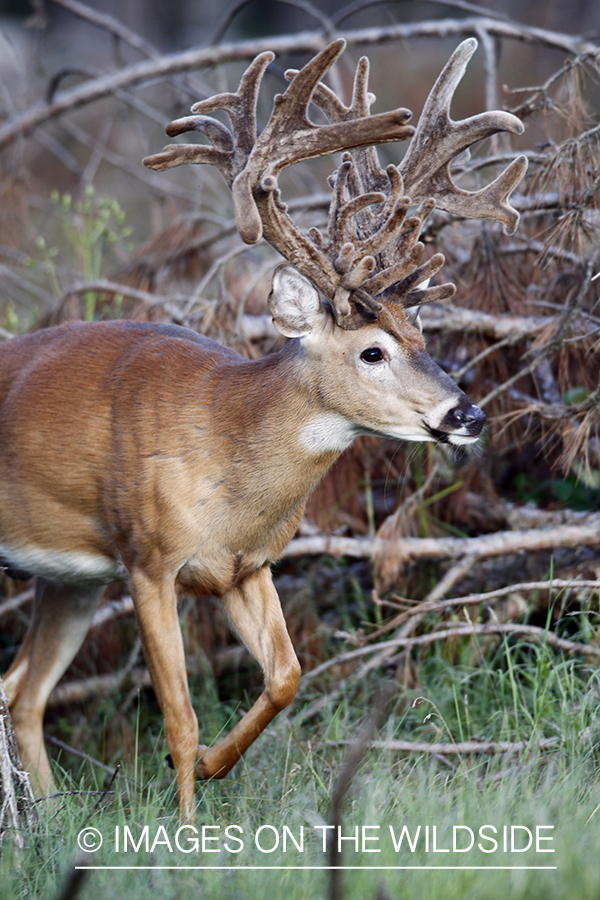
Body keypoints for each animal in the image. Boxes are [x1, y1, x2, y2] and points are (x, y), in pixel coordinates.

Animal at [0, 38, 524, 820]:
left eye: (422, 334)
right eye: (372, 351)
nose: (468, 414)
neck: (226, 447)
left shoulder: (249, 565)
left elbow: (287, 676)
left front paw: (216, 767)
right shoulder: (148, 557)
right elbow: (181, 717)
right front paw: (186, 828)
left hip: (70, 579)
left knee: (22, 691)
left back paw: (52, 815)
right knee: (23, 689)